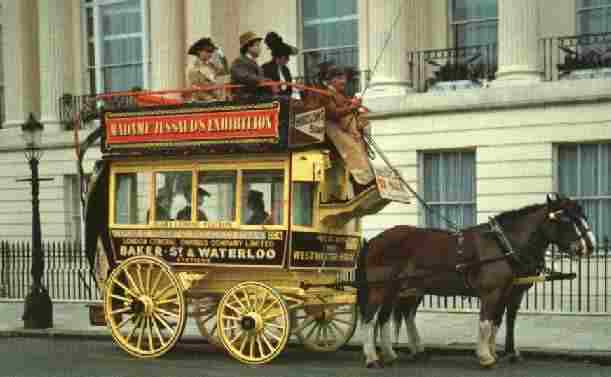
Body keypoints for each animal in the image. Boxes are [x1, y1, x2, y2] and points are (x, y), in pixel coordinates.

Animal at [358, 194, 596, 368]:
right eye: (566, 219)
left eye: (583, 215)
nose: (590, 246)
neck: (502, 244)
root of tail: (375, 240)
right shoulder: (492, 293)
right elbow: (486, 322)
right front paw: (485, 356)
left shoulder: (505, 292)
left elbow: (496, 322)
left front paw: (495, 352)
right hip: (380, 289)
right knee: (369, 319)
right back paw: (371, 357)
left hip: (398, 289)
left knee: (388, 318)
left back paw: (392, 353)